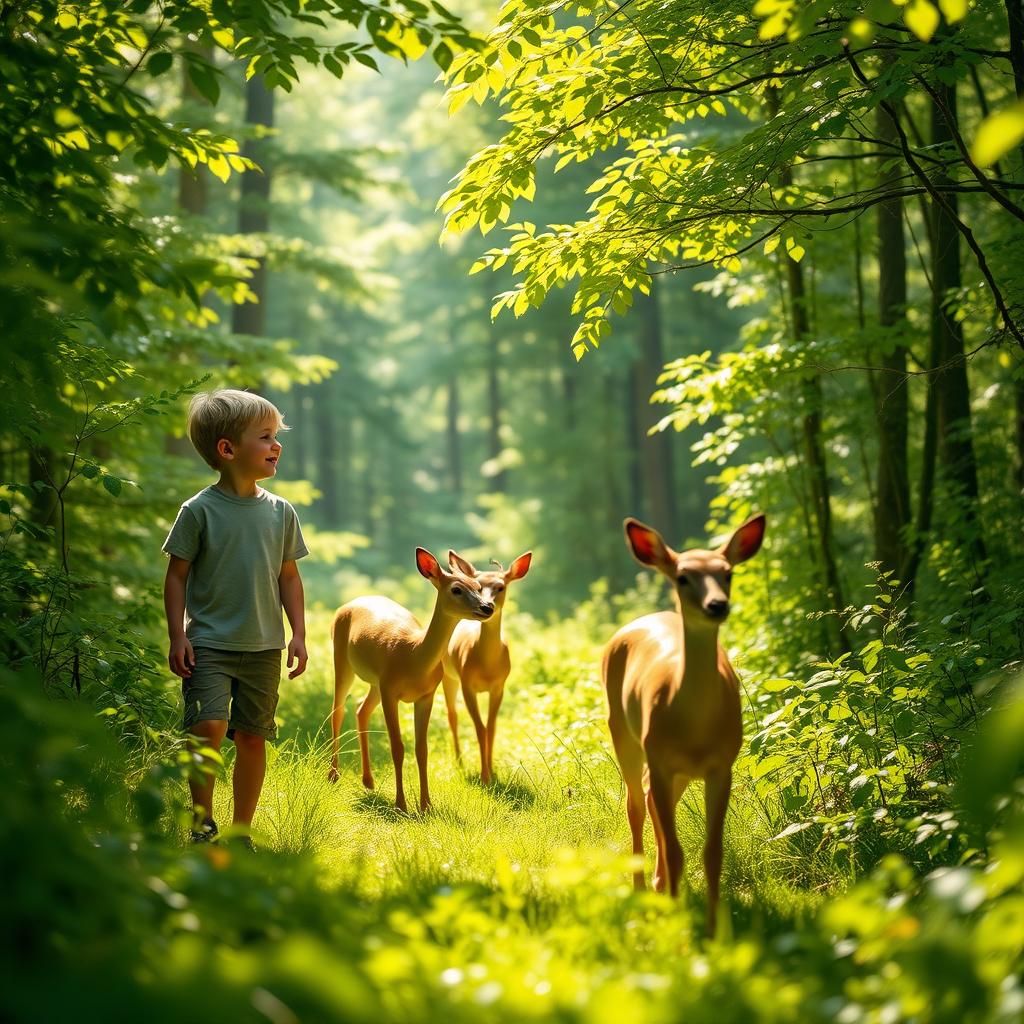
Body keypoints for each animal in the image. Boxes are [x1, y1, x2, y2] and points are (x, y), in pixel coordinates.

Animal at [323, 548, 491, 811]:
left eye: (478, 585)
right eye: (456, 589)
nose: (487, 608)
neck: (414, 656)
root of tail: (350, 603)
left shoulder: (426, 695)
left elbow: (422, 750)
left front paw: (426, 805)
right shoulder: (390, 691)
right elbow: (397, 747)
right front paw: (401, 804)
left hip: (375, 682)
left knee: (361, 709)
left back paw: (368, 780)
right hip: (341, 657)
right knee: (338, 710)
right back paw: (333, 775)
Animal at [440, 552, 532, 782]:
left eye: (501, 587)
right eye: (478, 586)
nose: (487, 606)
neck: (487, 666)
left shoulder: (499, 686)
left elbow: (491, 728)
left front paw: (491, 769)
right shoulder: (467, 685)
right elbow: (479, 728)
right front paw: (484, 777)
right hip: (448, 676)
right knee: (452, 715)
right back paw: (459, 761)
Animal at [602, 512, 765, 937]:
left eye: (727, 573)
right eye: (683, 577)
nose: (717, 605)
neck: (694, 726)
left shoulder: (721, 765)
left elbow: (712, 852)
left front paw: (714, 928)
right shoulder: (660, 756)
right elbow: (677, 851)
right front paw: (676, 928)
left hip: (673, 769)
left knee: (649, 798)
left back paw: (660, 884)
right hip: (621, 729)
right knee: (635, 802)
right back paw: (642, 886)